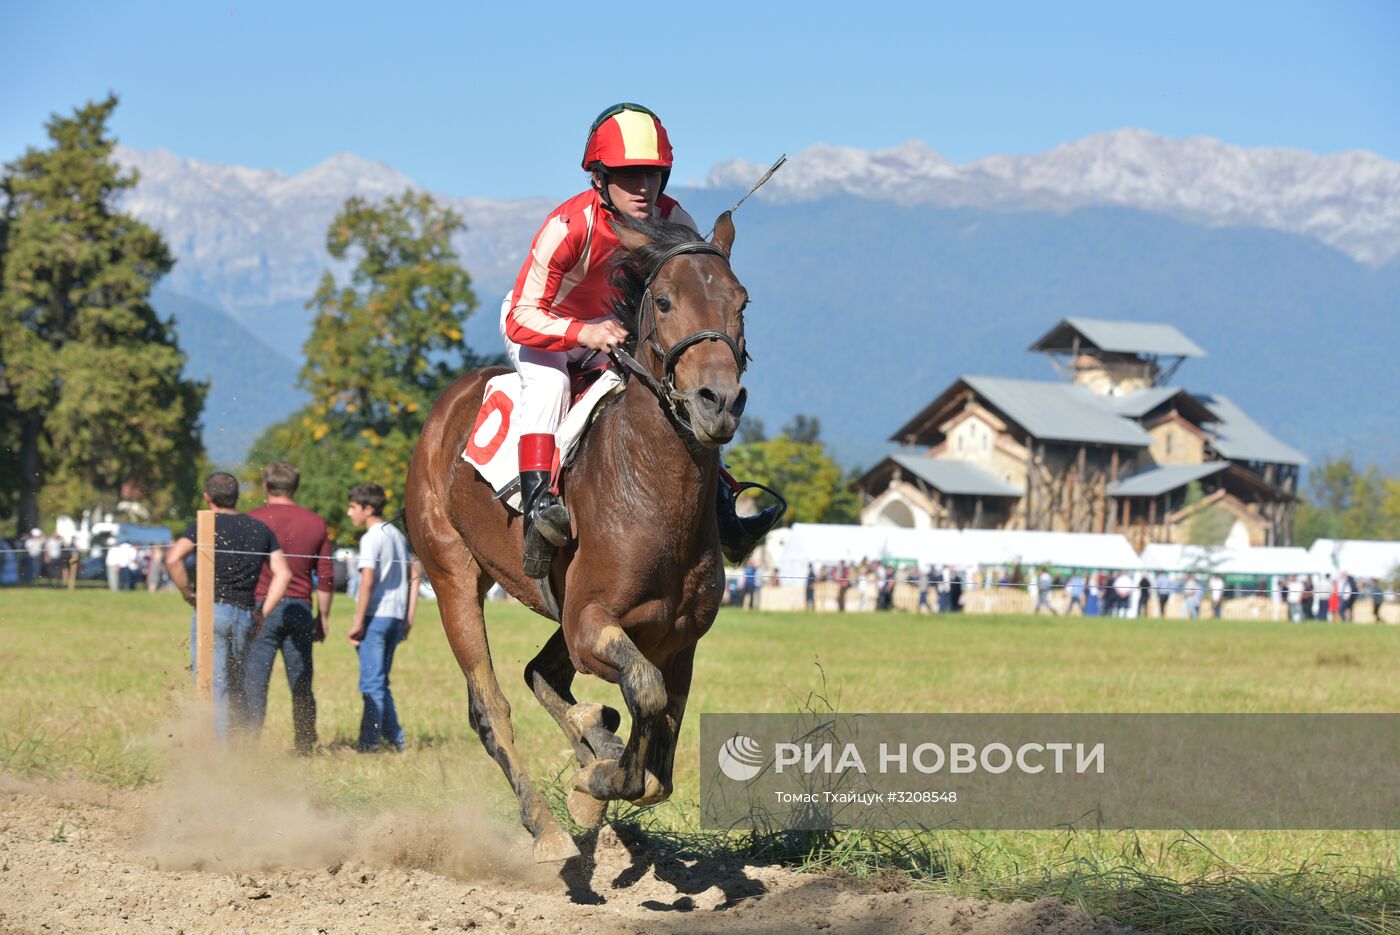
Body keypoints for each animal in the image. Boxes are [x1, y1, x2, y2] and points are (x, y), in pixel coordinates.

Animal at [406, 211, 756, 862]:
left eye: (742, 301)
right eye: (664, 301)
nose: (718, 402)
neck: (652, 492)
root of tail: (447, 406)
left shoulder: (678, 639)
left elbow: (659, 762)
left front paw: (598, 770)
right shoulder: (592, 622)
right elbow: (645, 696)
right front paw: (593, 783)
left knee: (540, 674)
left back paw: (594, 735)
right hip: (451, 575)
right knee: (491, 706)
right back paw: (545, 824)